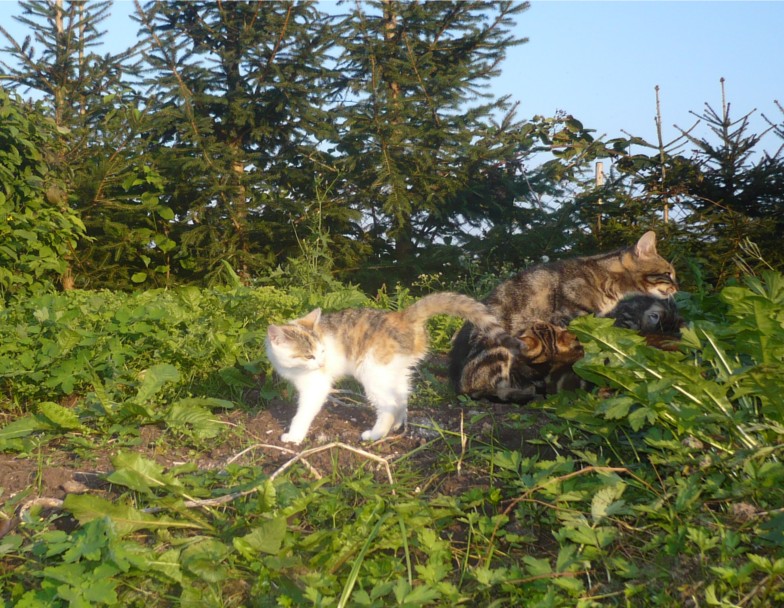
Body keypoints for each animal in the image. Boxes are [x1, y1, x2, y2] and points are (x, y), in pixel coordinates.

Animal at [266, 292, 521, 444]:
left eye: (321, 353)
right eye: (310, 355)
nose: (321, 363)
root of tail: (402, 316)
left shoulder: (315, 387)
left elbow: (303, 413)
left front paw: (294, 436)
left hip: (372, 371)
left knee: (388, 405)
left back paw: (376, 433)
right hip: (396, 371)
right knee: (401, 399)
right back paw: (398, 424)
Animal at [449, 231, 677, 400]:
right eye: (668, 273)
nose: (677, 286)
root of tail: (457, 383)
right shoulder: (570, 319)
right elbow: (578, 351)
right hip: (500, 347)